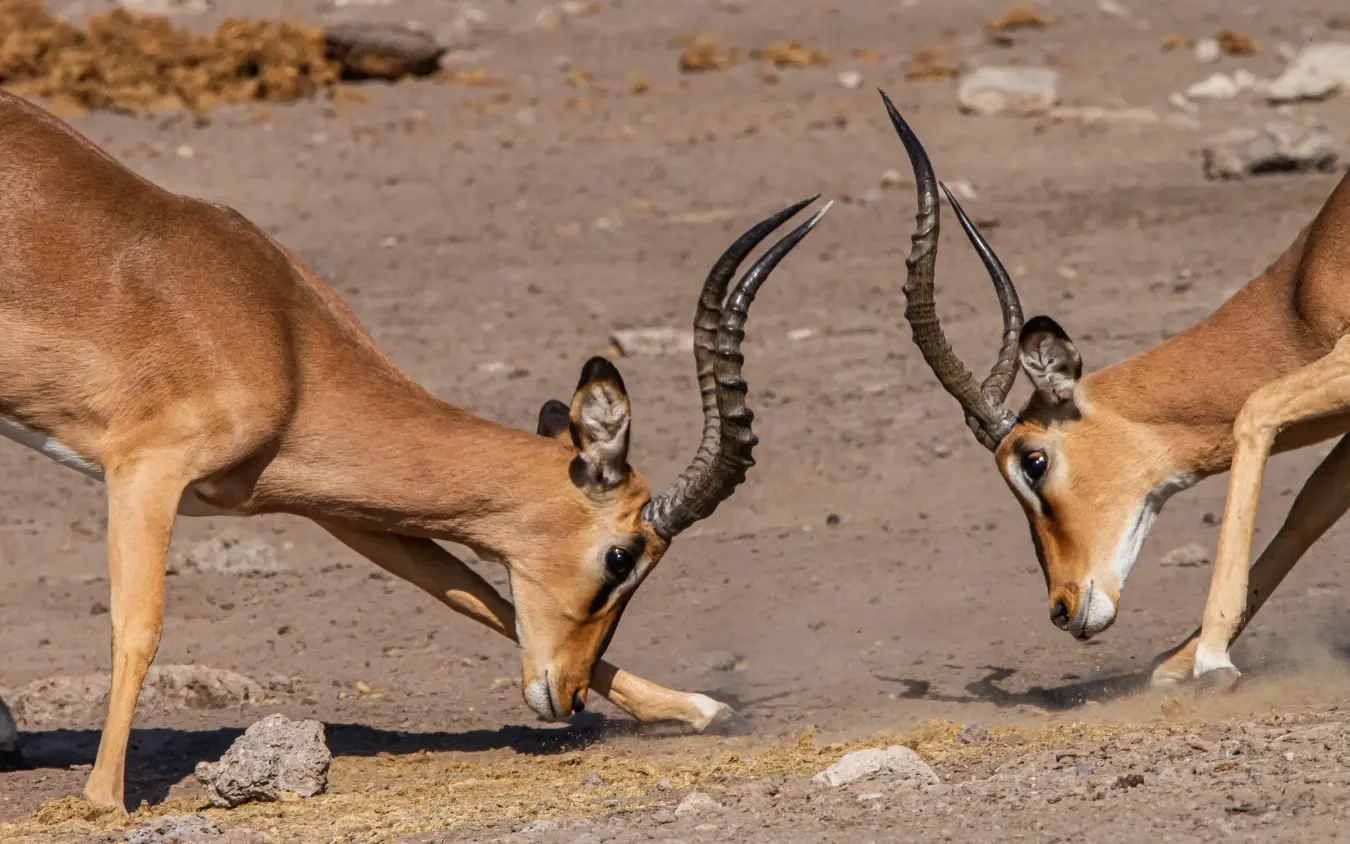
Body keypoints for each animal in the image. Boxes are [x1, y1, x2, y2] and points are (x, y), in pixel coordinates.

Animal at [0, 90, 827, 811]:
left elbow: (480, 597)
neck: (281, 339)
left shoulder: (340, 508)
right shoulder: (143, 471)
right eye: (621, 556)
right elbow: (139, 626)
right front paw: (104, 799)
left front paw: (701, 709)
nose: (564, 694)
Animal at [880, 89, 1350, 693]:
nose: (1062, 607)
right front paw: (1173, 662)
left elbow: (1256, 409)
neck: (1303, 286)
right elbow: (1313, 503)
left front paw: (1211, 660)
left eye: (1033, 462)